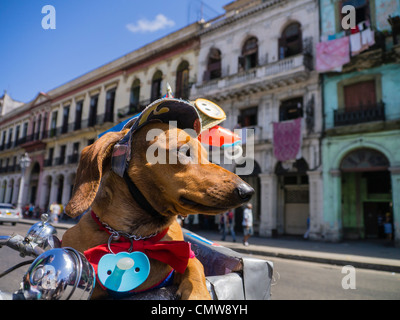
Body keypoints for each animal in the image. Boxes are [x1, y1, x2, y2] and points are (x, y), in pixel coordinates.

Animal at [62, 119, 253, 298]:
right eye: (184, 151)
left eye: (207, 156)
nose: (248, 191)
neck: (135, 237)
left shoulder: (184, 255)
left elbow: (194, 266)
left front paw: (198, 293)